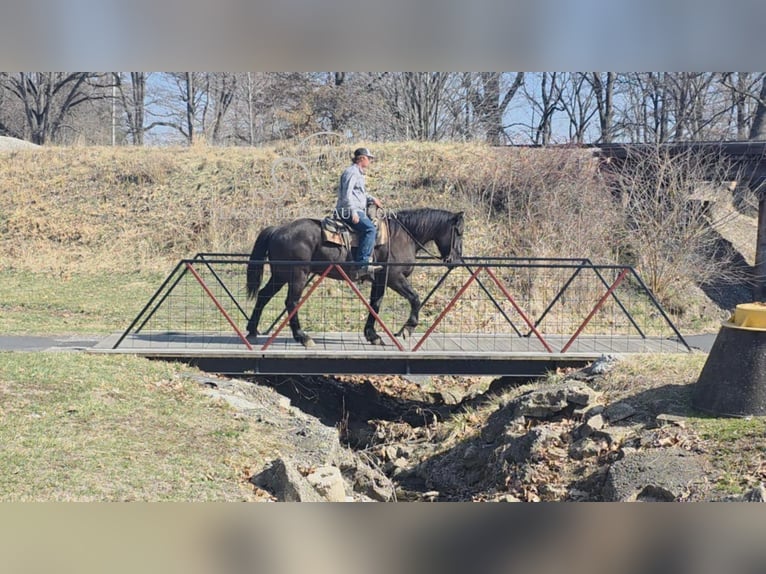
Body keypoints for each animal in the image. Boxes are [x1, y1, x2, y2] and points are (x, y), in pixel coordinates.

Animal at [246, 209, 464, 348]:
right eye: (459, 232)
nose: (456, 260)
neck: (402, 236)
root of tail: (277, 229)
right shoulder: (394, 278)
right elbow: (415, 298)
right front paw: (407, 329)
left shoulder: (380, 280)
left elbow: (375, 304)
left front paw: (372, 335)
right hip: (297, 275)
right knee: (291, 302)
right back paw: (302, 337)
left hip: (280, 275)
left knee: (264, 295)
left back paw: (252, 330)